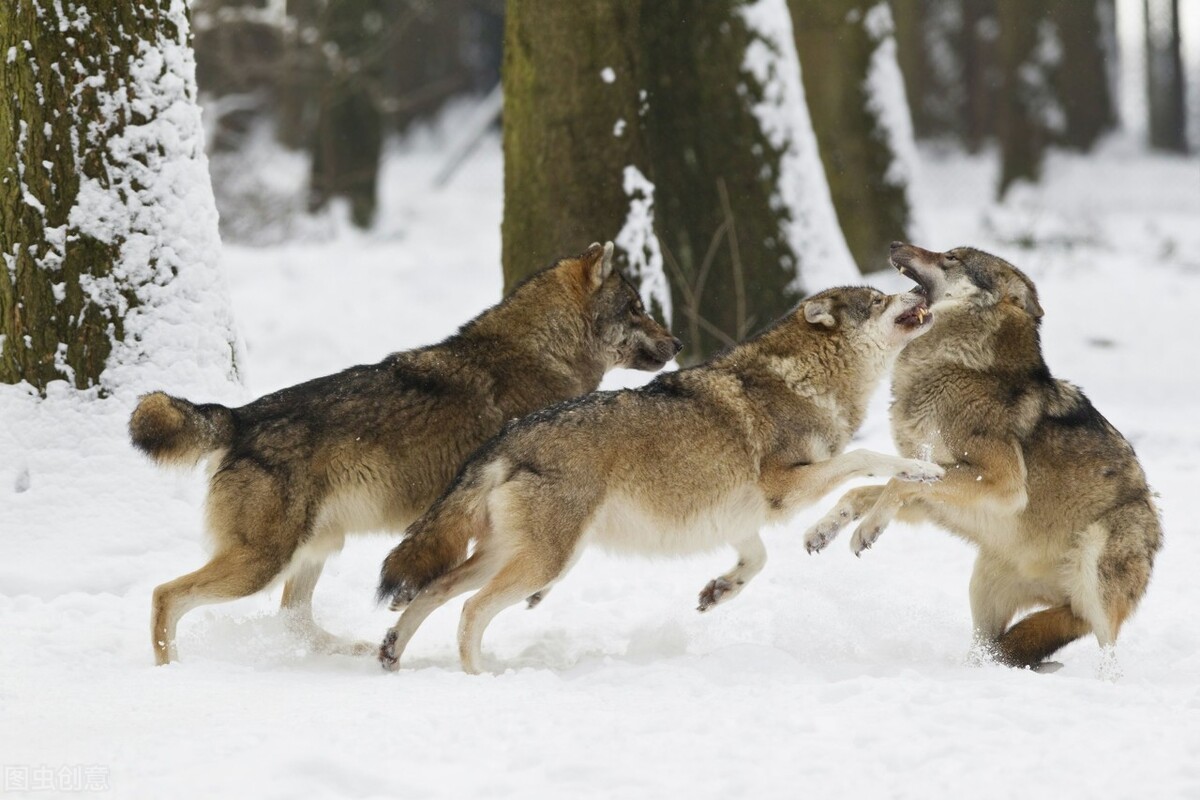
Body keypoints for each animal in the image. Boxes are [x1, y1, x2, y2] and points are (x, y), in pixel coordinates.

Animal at [130, 241, 681, 666]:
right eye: (636, 308)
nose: (677, 342)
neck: (543, 355)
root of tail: (239, 415)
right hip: (263, 562)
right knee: (165, 595)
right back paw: (172, 670)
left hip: (314, 549)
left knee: (293, 619)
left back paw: (353, 649)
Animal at [372, 284, 936, 671]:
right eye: (879, 298)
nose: (921, 289)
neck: (805, 380)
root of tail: (505, 438)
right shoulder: (785, 488)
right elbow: (867, 455)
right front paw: (922, 467)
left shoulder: (739, 514)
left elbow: (756, 560)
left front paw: (719, 591)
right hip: (546, 562)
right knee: (470, 610)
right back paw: (480, 678)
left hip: (510, 555)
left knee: (433, 590)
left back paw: (391, 653)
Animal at [806, 244, 1161, 676]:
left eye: (951, 258)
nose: (894, 245)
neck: (956, 366)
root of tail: (1068, 602)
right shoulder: (932, 491)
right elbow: (865, 491)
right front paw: (826, 529)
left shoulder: (1000, 482)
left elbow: (893, 484)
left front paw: (867, 529)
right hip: (984, 585)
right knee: (989, 650)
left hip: (1097, 576)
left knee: (1108, 654)